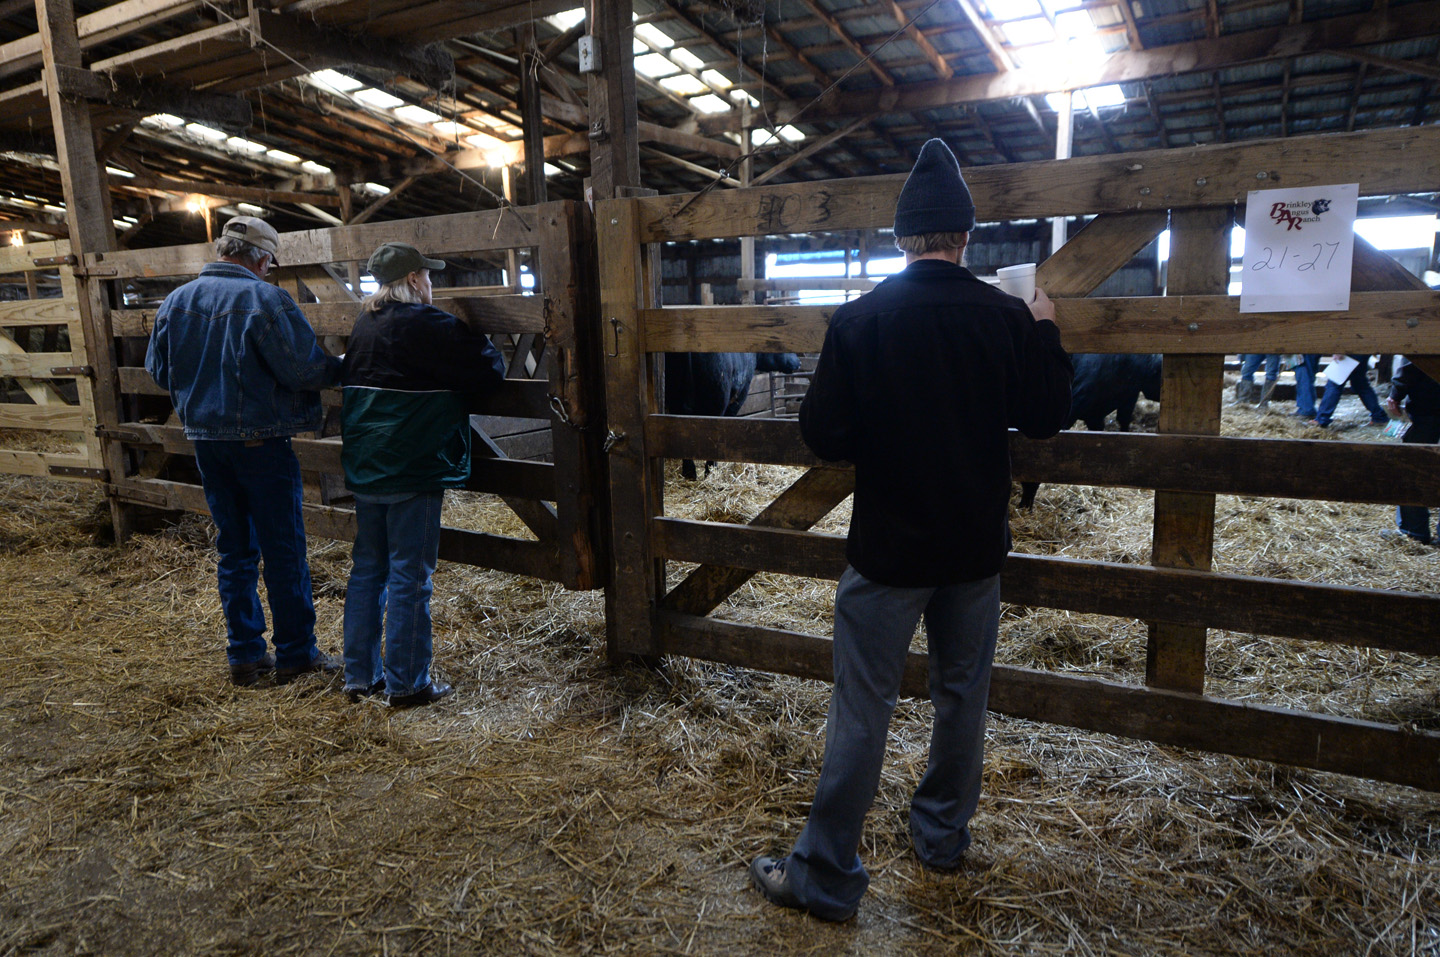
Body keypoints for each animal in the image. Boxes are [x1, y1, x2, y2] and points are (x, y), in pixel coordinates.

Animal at [665, 351, 806, 477]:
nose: (799, 362)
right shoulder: (741, 393)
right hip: (718, 398)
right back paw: (711, 470)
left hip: (675, 402)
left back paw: (689, 473)